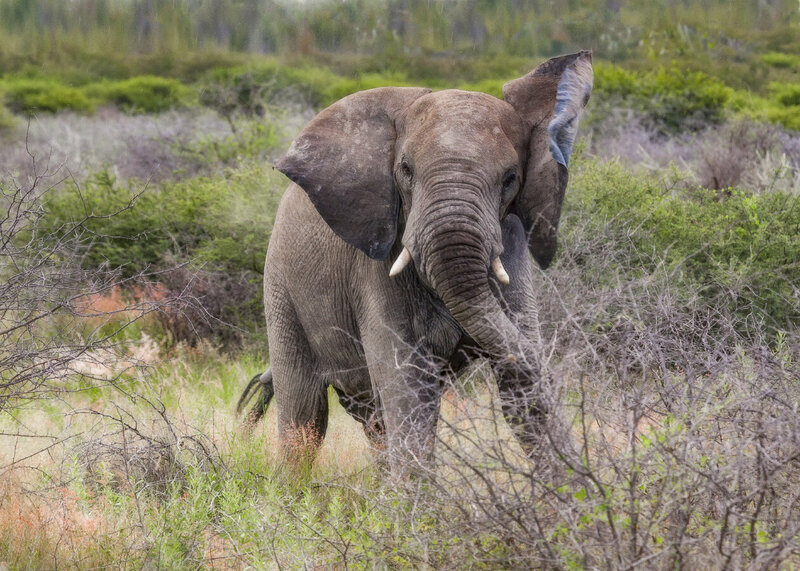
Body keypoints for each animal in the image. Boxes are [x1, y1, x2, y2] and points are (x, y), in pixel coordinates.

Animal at [238, 51, 593, 474]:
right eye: (406, 170)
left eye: (510, 178)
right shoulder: (374, 270)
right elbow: (407, 386)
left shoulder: (512, 247)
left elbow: (521, 389)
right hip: (281, 285)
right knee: (304, 412)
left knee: (371, 416)